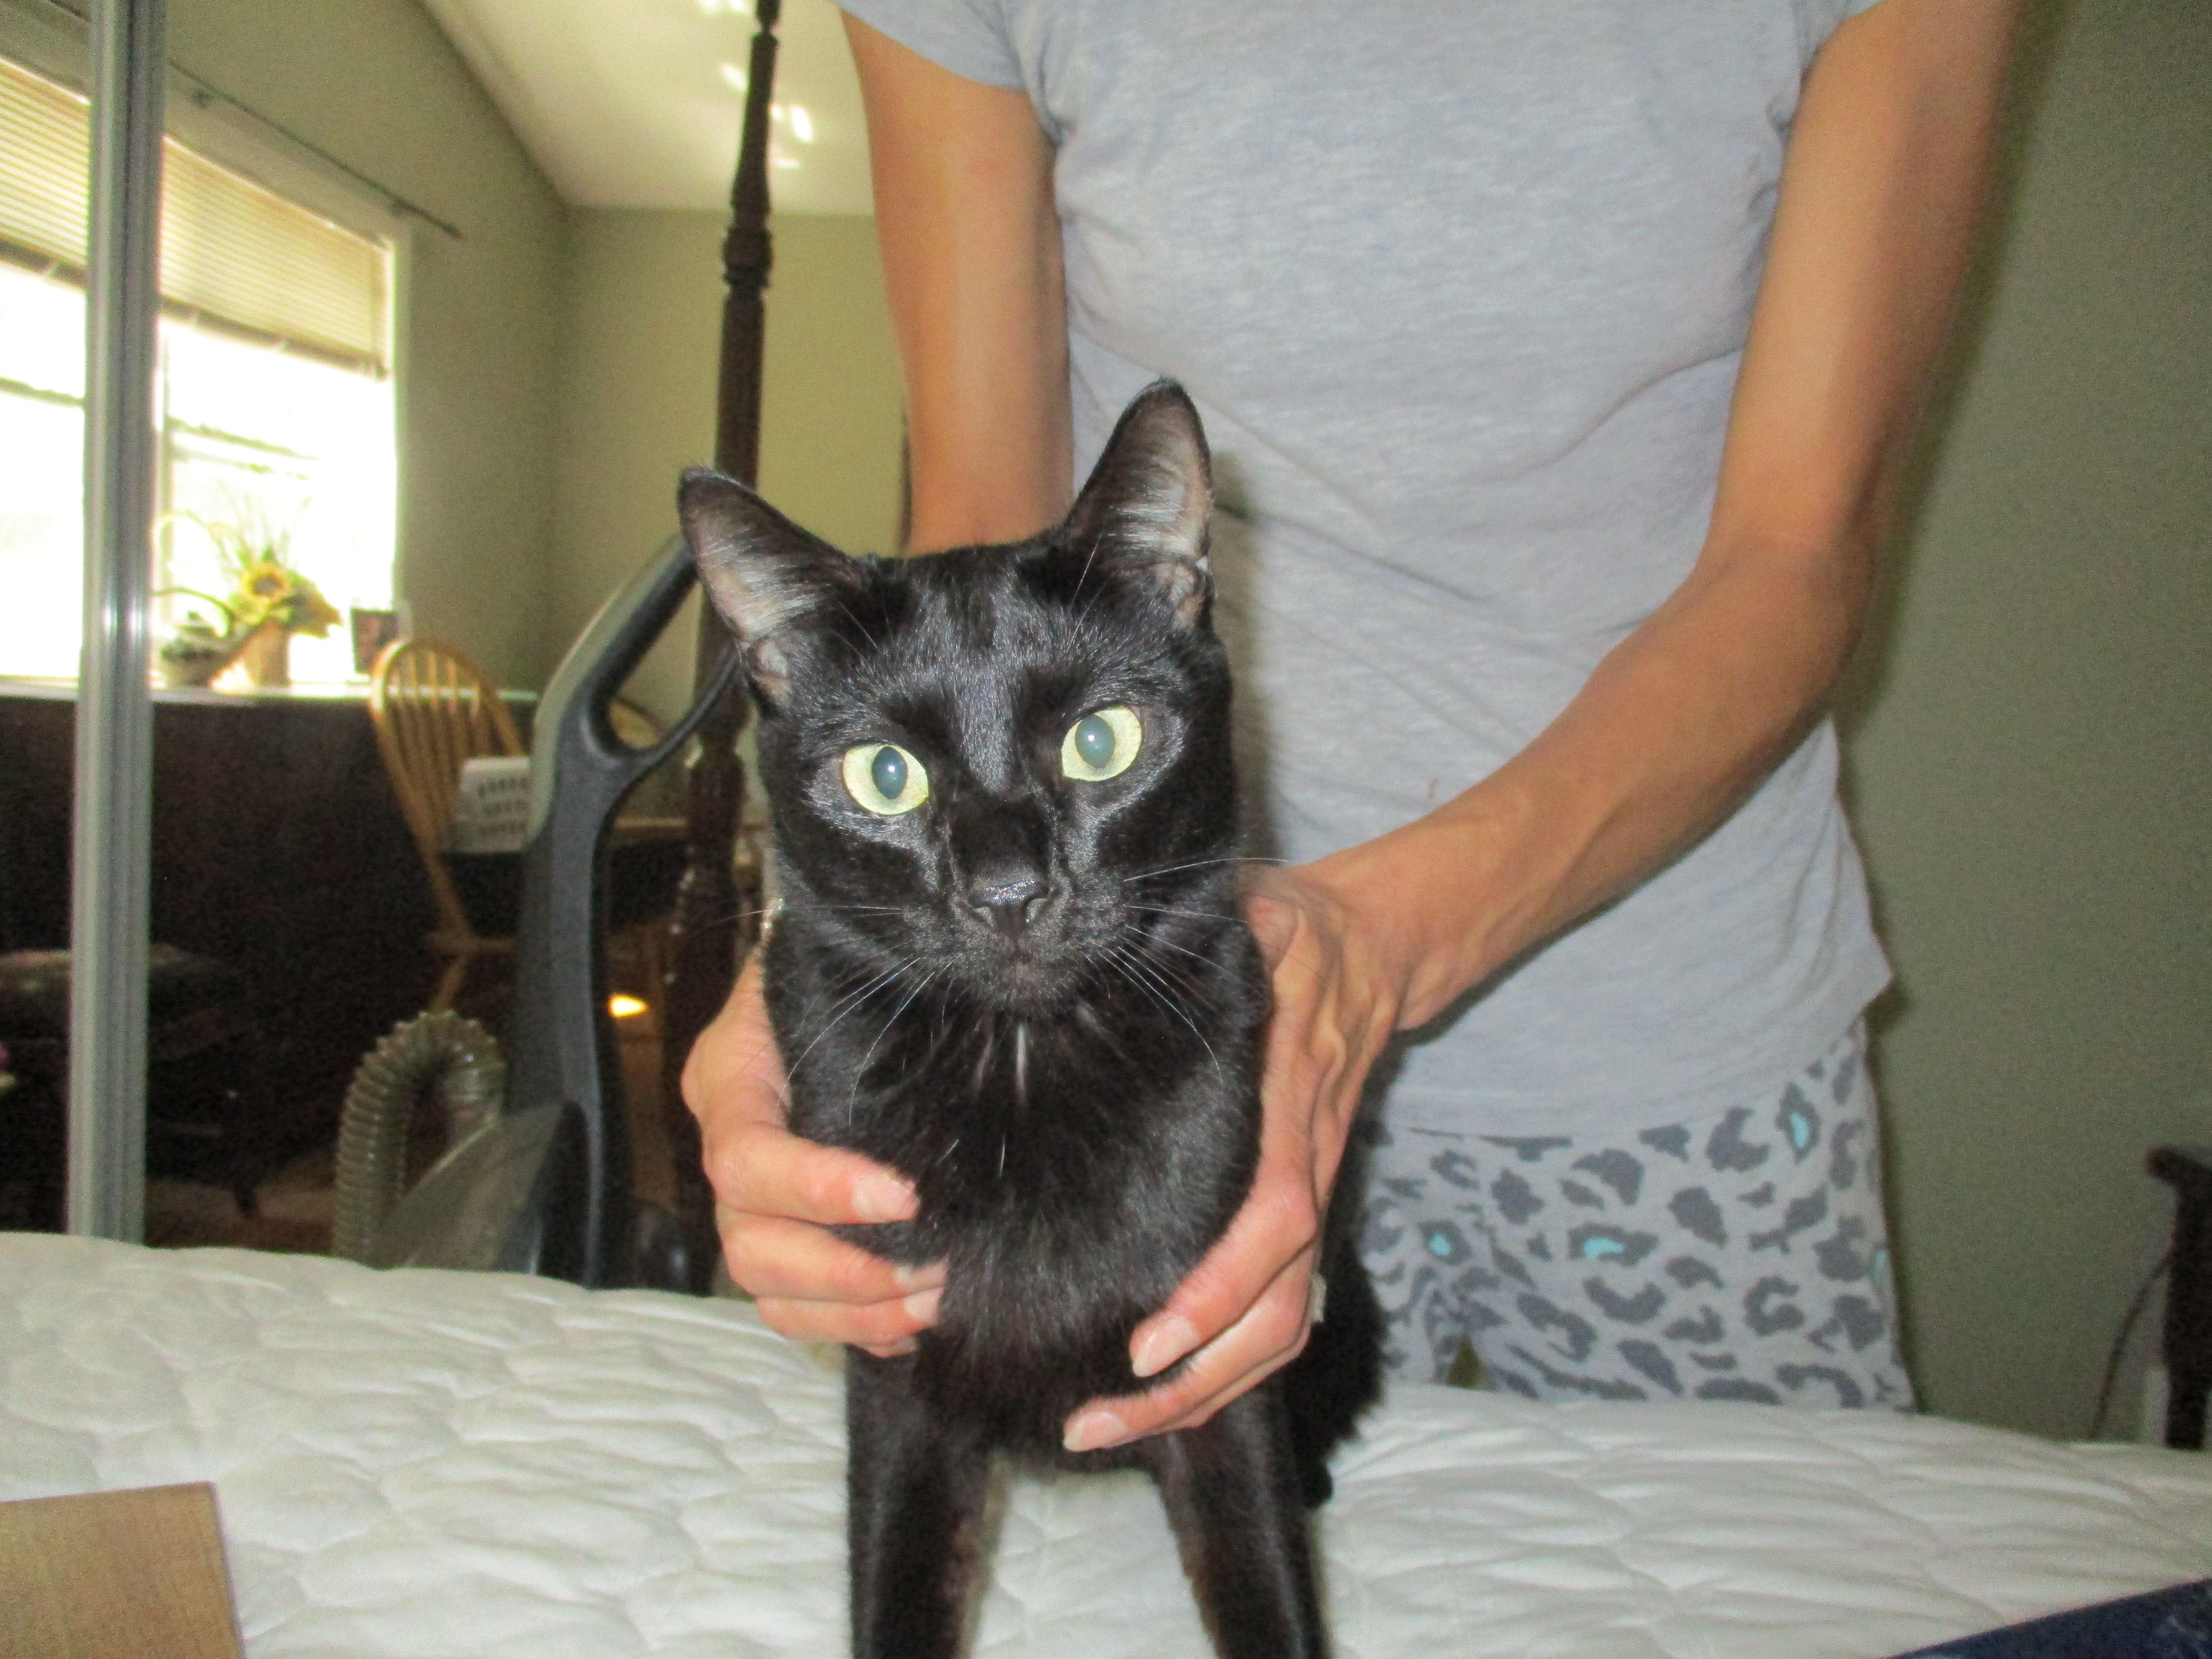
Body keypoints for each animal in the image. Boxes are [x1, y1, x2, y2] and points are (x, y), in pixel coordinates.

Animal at [680, 381, 1381, 1659]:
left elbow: (1263, 1580)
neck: (1019, 1067)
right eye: (884, 776)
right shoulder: (895, 1366)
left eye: (1101, 742)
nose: (1007, 891)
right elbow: (901, 1582)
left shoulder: (1222, 1360)